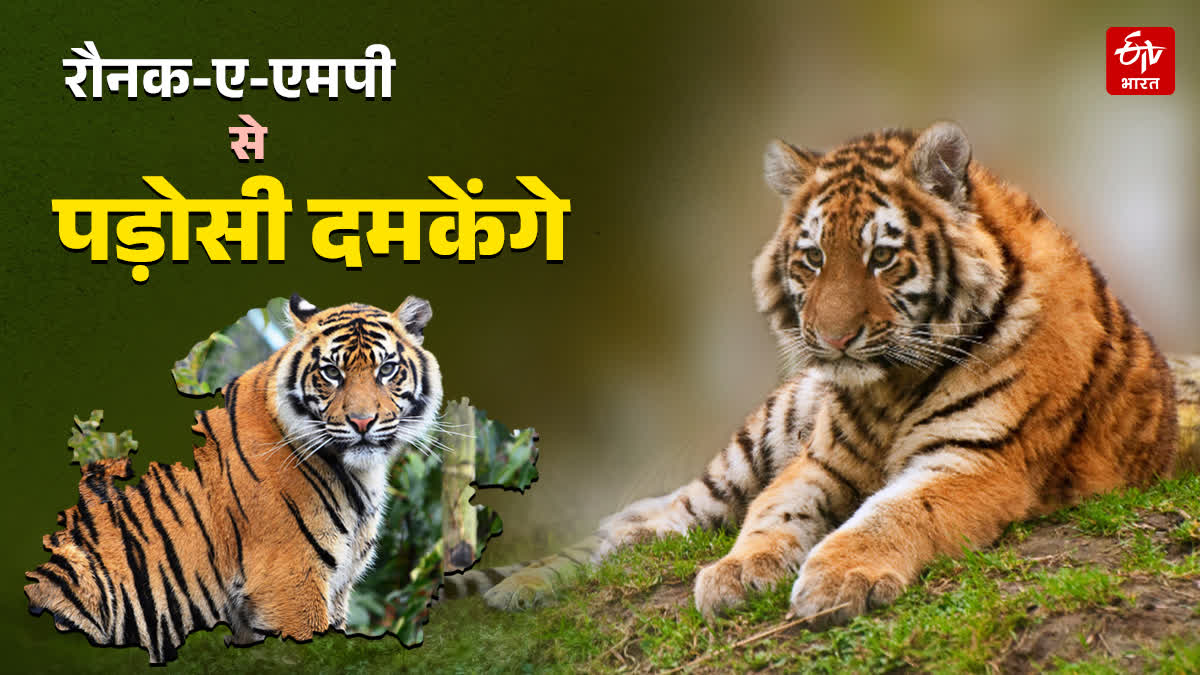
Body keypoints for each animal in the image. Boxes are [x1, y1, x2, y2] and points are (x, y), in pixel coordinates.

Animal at [25, 294, 443, 663]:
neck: (358, 473)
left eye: (386, 370)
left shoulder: (337, 589)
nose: (362, 422)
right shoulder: (292, 586)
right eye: (331, 372)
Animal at [452, 122, 1178, 627]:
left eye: (882, 257)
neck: (890, 387)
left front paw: (836, 578)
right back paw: (536, 578)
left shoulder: (976, 460)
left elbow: (895, 512)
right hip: (755, 440)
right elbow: (773, 509)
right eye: (812, 258)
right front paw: (737, 571)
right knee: (656, 515)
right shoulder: (819, 459)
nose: (831, 339)